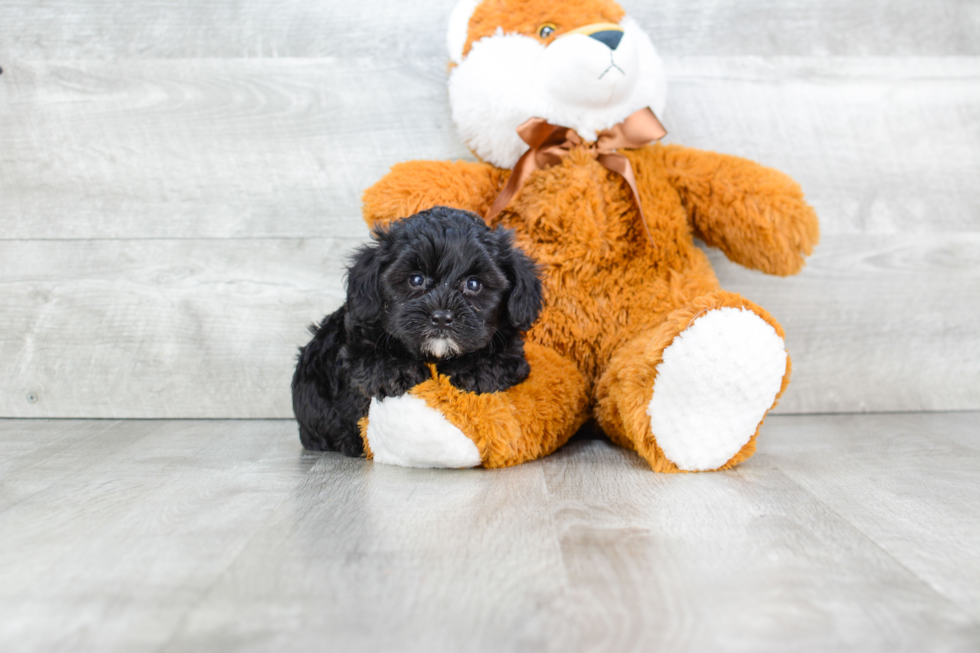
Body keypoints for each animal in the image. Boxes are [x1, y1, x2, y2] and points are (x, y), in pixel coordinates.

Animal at [290, 206, 544, 456]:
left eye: (473, 284)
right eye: (416, 279)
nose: (442, 318)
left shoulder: (511, 351)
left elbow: (501, 357)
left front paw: (474, 370)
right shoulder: (355, 341)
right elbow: (365, 356)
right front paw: (398, 370)